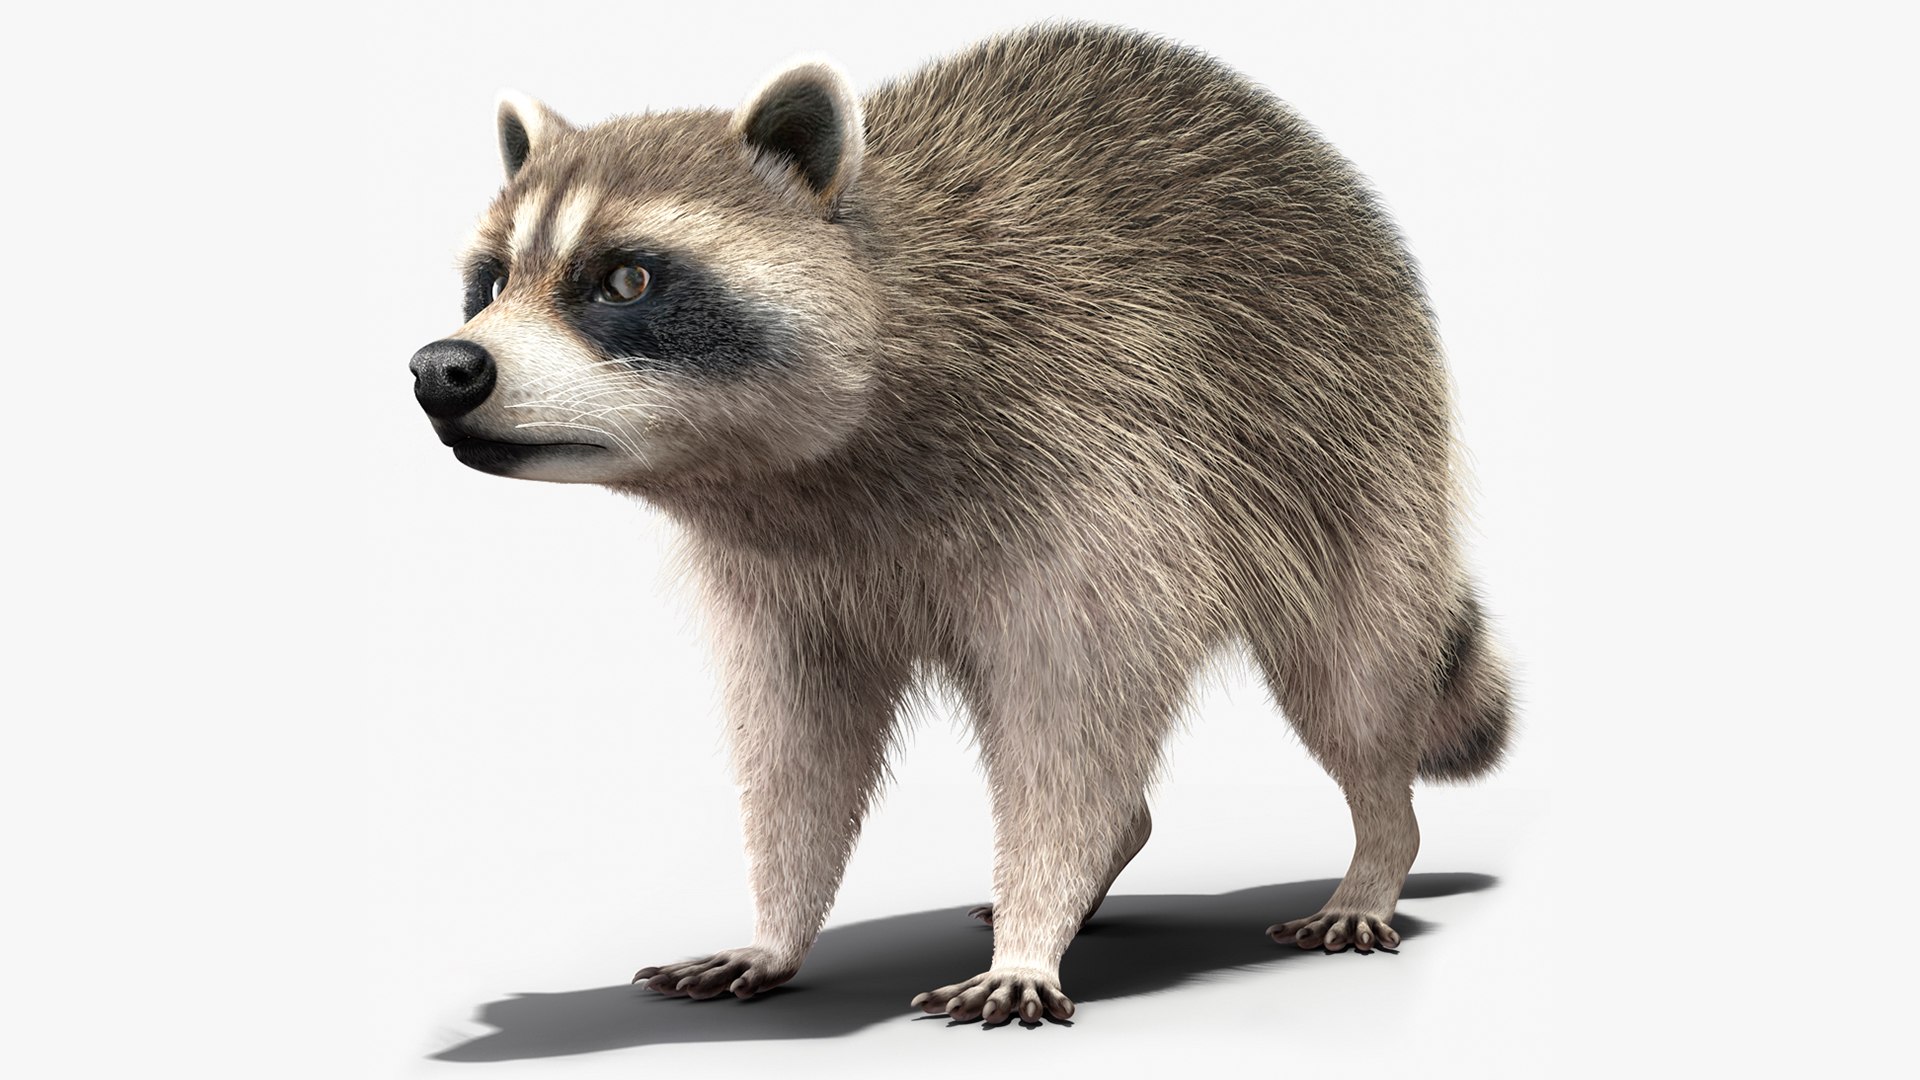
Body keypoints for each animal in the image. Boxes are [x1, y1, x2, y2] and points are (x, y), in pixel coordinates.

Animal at [410, 23, 1512, 1025]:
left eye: (626, 279)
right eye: (492, 283)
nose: (443, 368)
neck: (796, 476)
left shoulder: (1102, 466)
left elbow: (1071, 725)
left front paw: (1034, 931)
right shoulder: (785, 577)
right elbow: (798, 745)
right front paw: (778, 924)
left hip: (1353, 449)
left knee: (1351, 680)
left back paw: (1378, 850)